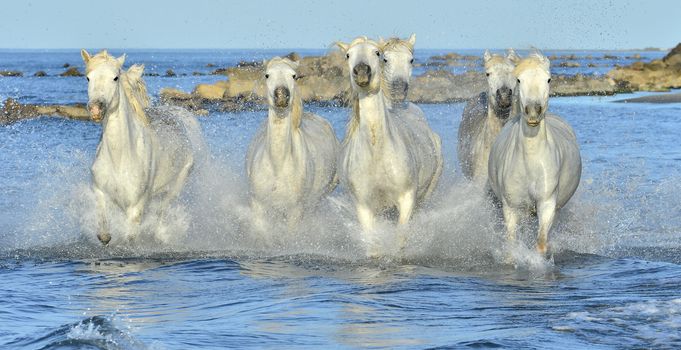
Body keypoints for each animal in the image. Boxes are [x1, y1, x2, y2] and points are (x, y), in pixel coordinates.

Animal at [81, 49, 201, 245]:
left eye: (115, 78)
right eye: (88, 78)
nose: (96, 109)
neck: (120, 159)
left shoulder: (136, 205)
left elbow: (131, 237)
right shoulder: (100, 192)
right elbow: (104, 234)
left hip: (175, 187)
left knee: (162, 212)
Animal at [246, 56, 338, 234]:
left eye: (294, 76)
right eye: (267, 75)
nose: (281, 95)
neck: (277, 165)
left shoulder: (295, 211)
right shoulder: (258, 206)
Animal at [334, 36, 440, 254]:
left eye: (377, 53)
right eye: (348, 55)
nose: (361, 71)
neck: (377, 151)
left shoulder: (407, 199)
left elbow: (401, 238)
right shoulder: (364, 206)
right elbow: (372, 244)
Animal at [486, 51, 580, 254]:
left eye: (549, 79)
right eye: (519, 79)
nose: (533, 112)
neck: (530, 162)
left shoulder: (546, 204)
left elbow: (541, 242)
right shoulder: (511, 208)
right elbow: (512, 243)